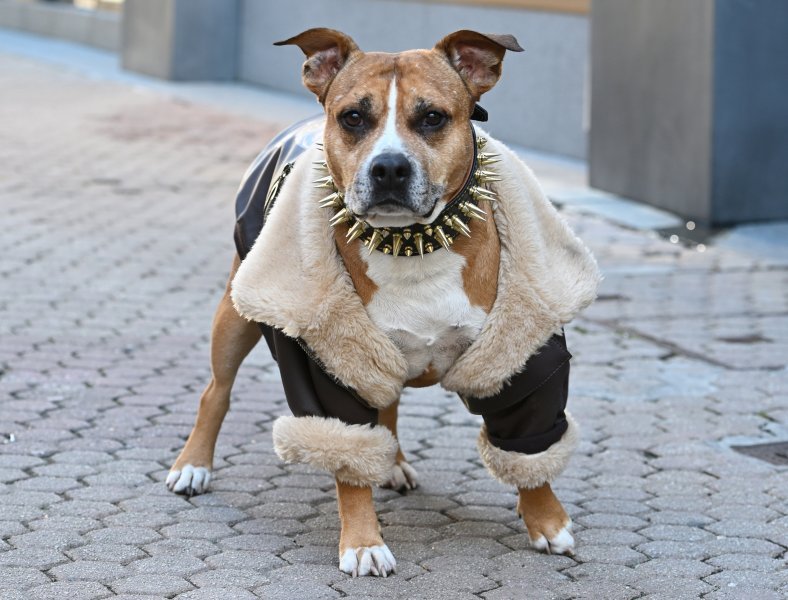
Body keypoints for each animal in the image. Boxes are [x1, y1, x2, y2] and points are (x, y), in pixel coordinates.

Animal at [165, 27, 596, 576]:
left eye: (432, 117)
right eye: (353, 118)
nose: (389, 166)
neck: (412, 244)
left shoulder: (520, 359)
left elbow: (529, 443)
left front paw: (547, 521)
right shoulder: (327, 370)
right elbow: (347, 453)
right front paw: (363, 542)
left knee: (387, 405)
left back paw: (391, 463)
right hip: (237, 313)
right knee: (214, 392)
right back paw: (192, 466)